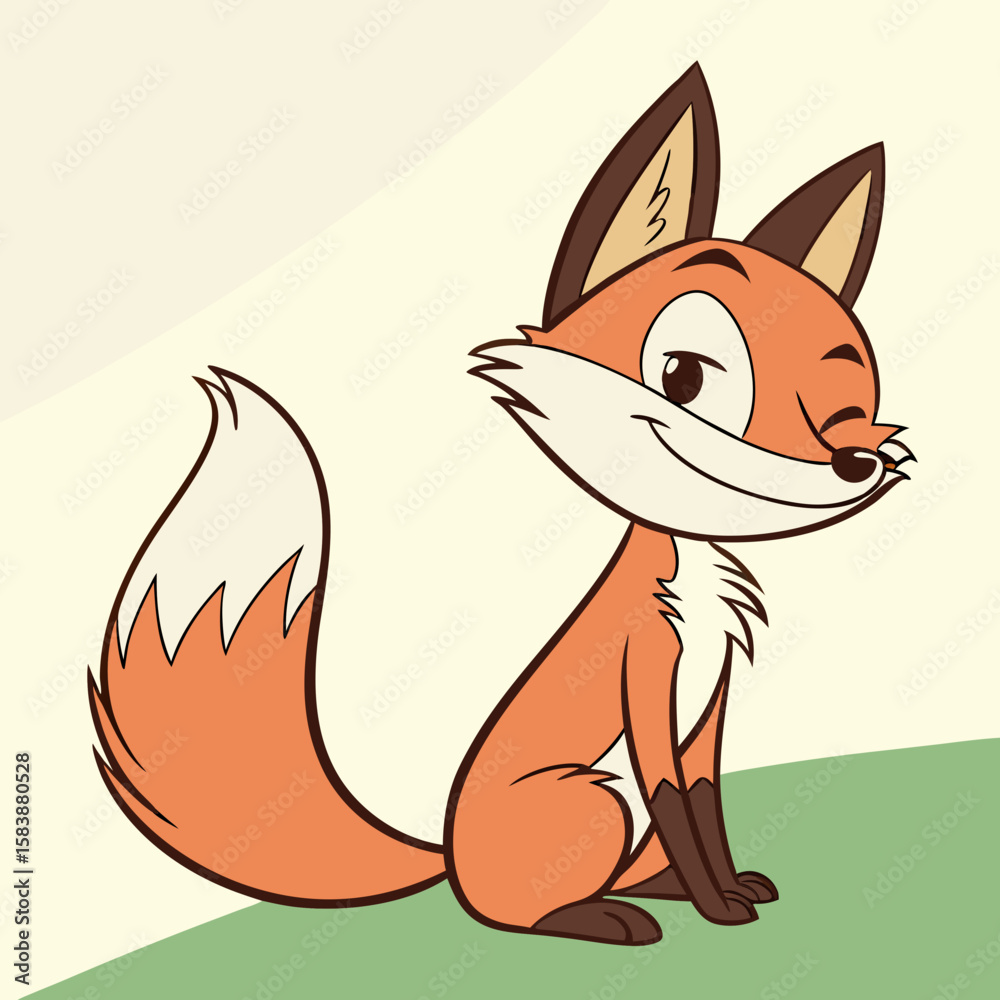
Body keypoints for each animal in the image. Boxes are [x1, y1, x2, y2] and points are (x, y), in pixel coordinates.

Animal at [90, 64, 914, 947]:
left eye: (851, 403)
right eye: (684, 376)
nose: (853, 459)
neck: (693, 576)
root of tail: (447, 857)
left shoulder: (709, 708)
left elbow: (706, 807)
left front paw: (727, 889)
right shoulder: (646, 678)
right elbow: (676, 801)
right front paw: (716, 908)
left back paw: (649, 891)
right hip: (595, 798)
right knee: (518, 914)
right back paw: (602, 916)